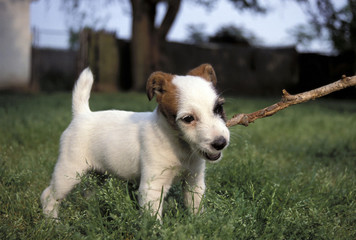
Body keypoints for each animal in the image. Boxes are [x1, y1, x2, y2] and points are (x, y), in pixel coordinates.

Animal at [41, 63, 231, 219]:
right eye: (188, 118)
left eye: (219, 108)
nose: (220, 143)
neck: (179, 146)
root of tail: (82, 115)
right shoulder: (152, 187)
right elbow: (153, 218)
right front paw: (156, 232)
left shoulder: (194, 181)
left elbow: (196, 207)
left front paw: (200, 224)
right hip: (69, 172)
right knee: (48, 195)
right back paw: (53, 223)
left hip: (97, 174)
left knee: (88, 193)